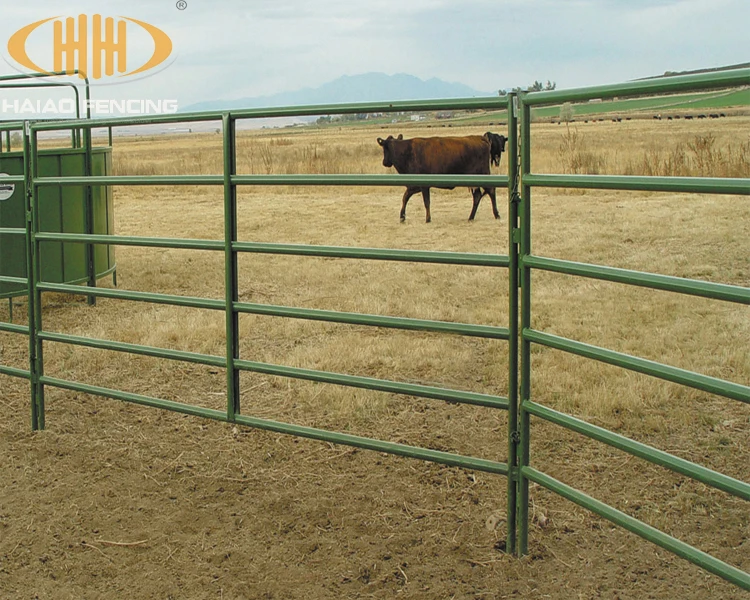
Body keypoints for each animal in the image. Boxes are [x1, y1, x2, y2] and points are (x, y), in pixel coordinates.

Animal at [376, 133, 506, 223]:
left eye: (384, 148)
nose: (384, 162)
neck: (407, 152)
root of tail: (480, 138)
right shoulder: (414, 186)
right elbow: (405, 197)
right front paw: (402, 217)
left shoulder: (423, 185)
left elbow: (426, 202)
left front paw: (428, 219)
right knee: (478, 196)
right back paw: (471, 217)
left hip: (483, 175)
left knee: (491, 191)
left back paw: (497, 214)